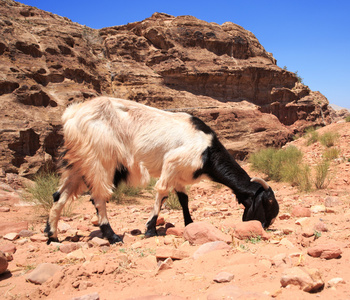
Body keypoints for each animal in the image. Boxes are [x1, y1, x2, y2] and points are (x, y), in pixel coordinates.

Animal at [44, 97, 278, 245]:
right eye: (267, 202)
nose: (265, 225)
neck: (207, 150)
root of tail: (72, 114)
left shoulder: (180, 174)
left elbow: (183, 199)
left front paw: (189, 224)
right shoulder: (172, 163)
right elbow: (162, 193)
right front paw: (150, 229)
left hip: (78, 162)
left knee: (59, 196)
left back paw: (52, 235)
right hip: (100, 160)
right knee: (99, 197)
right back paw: (112, 236)